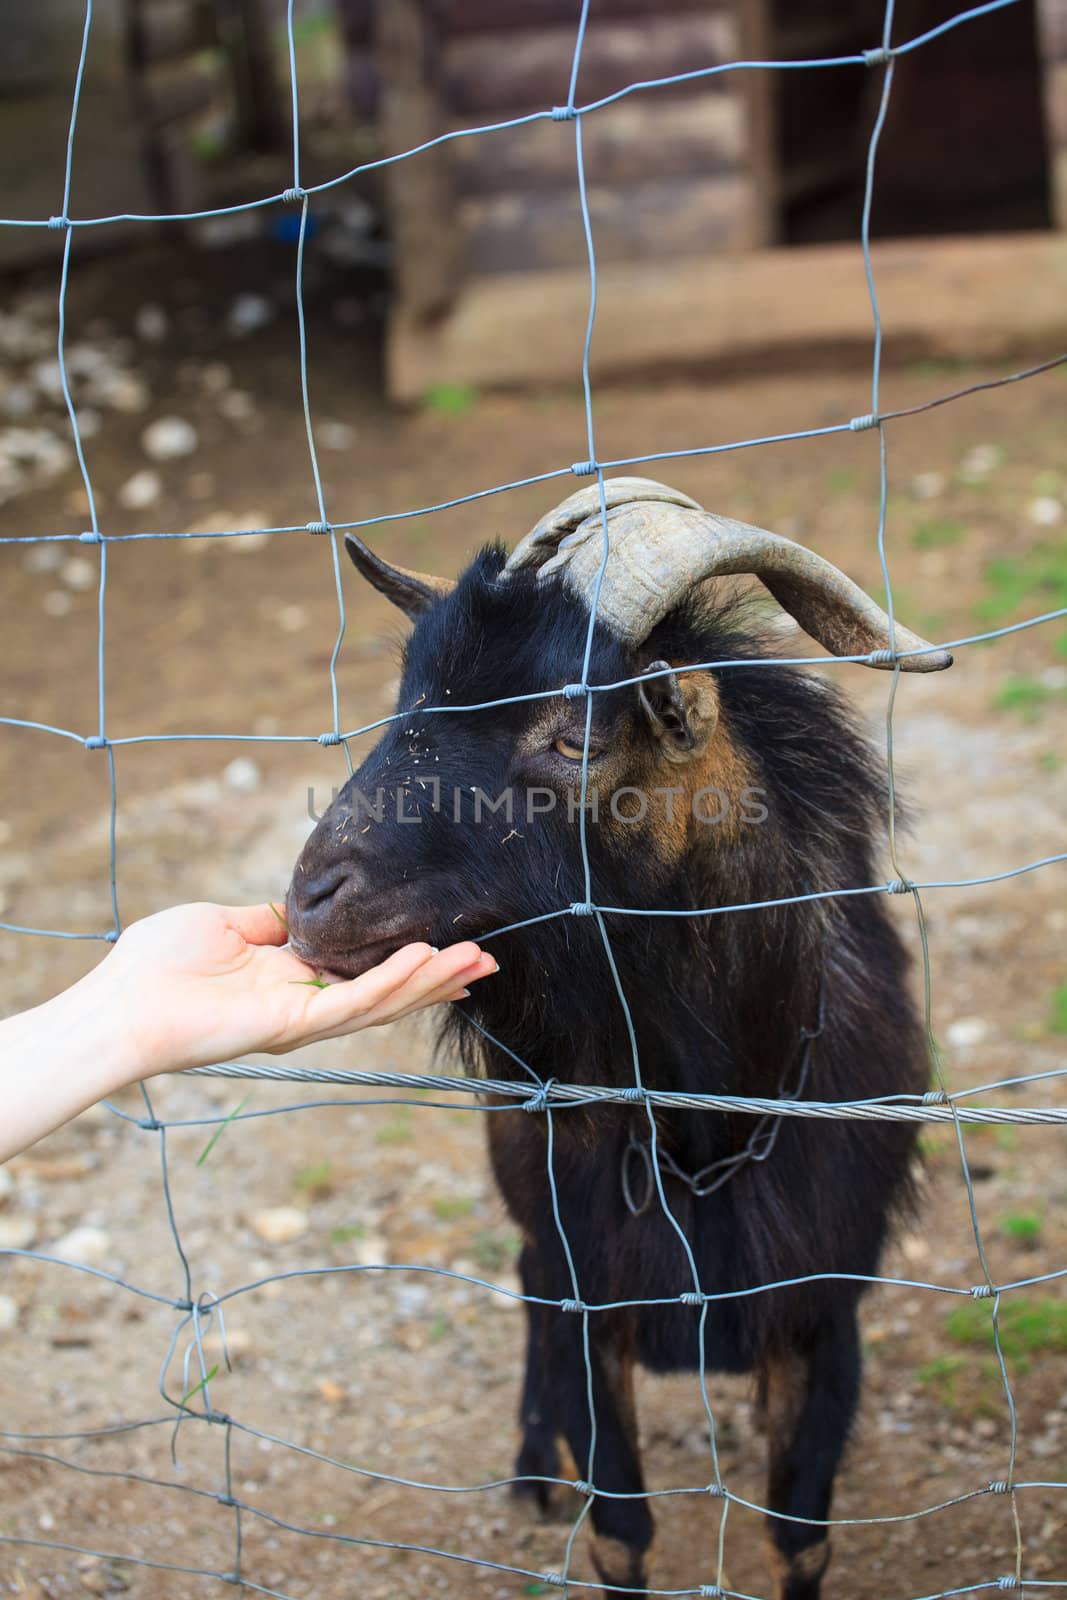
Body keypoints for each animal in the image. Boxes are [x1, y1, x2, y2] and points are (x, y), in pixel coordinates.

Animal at [287, 476, 947, 1600]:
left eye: (576, 738)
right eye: (408, 695)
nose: (308, 902)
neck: (704, 1134)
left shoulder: (822, 1308)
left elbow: (799, 1534)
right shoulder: (590, 1288)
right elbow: (619, 1530)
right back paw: (528, 1468)